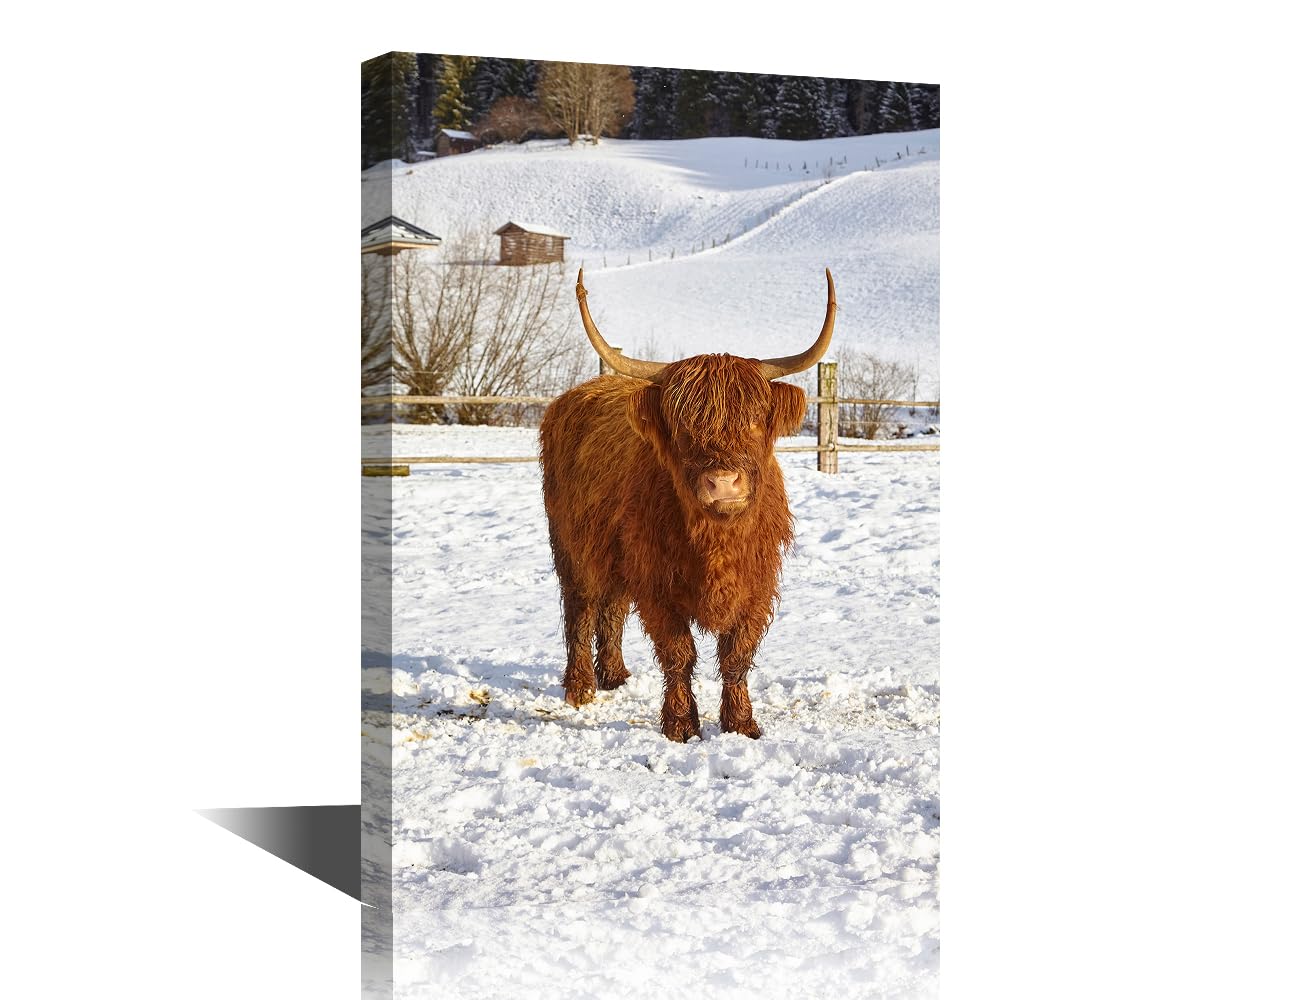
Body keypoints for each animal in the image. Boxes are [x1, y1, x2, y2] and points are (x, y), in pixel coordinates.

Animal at [539, 269, 835, 742]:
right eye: (683, 426)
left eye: (755, 420)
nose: (723, 483)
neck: (716, 541)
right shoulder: (657, 582)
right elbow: (678, 652)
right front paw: (680, 725)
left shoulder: (756, 584)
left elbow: (737, 654)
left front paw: (741, 723)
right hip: (574, 547)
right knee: (581, 607)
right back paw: (581, 687)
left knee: (613, 608)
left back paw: (615, 676)